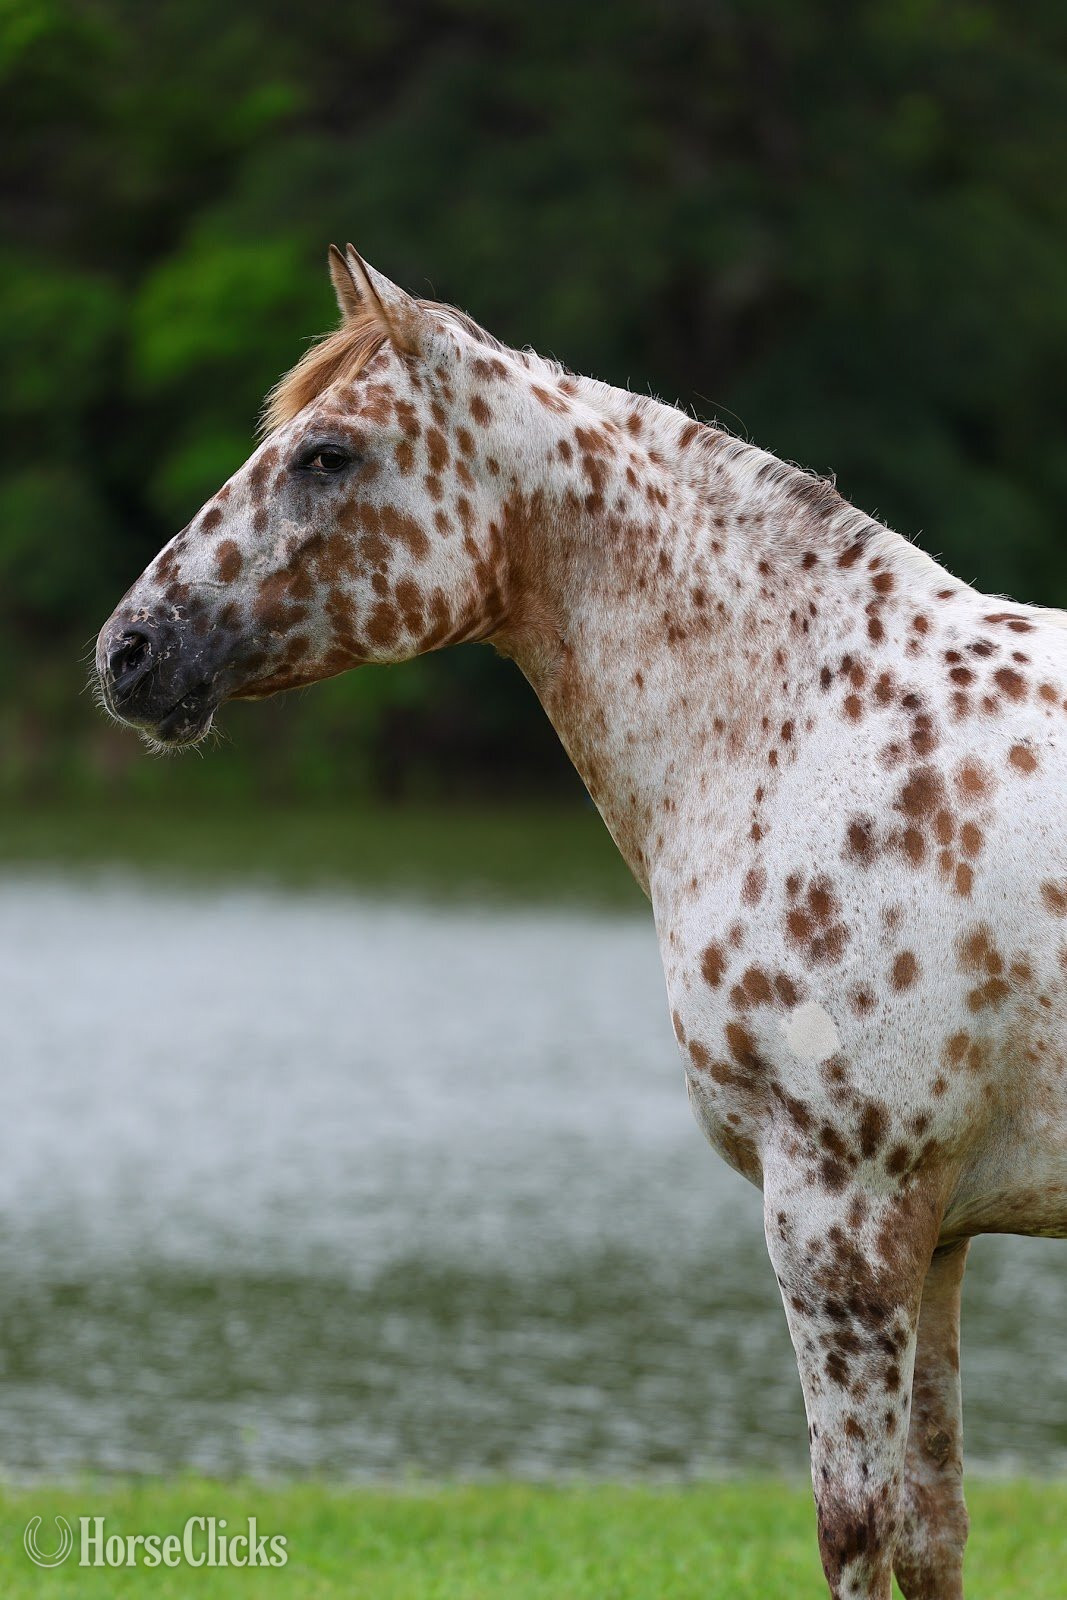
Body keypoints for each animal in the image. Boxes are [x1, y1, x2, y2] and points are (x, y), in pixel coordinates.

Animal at [95, 245, 1067, 1599]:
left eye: (326, 455)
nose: (129, 650)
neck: (807, 725)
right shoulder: (931, 1229)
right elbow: (930, 1528)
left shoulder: (841, 1209)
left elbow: (853, 1524)